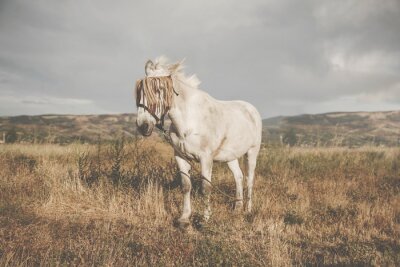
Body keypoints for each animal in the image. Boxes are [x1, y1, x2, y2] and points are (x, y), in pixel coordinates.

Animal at [135, 57, 262, 228]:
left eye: (159, 89)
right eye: (140, 91)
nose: (143, 126)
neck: (189, 121)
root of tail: (251, 109)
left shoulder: (205, 158)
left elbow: (205, 188)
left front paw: (205, 219)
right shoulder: (180, 157)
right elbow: (186, 186)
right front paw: (184, 218)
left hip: (252, 152)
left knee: (249, 179)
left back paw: (247, 210)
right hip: (230, 156)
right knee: (239, 177)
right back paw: (237, 208)